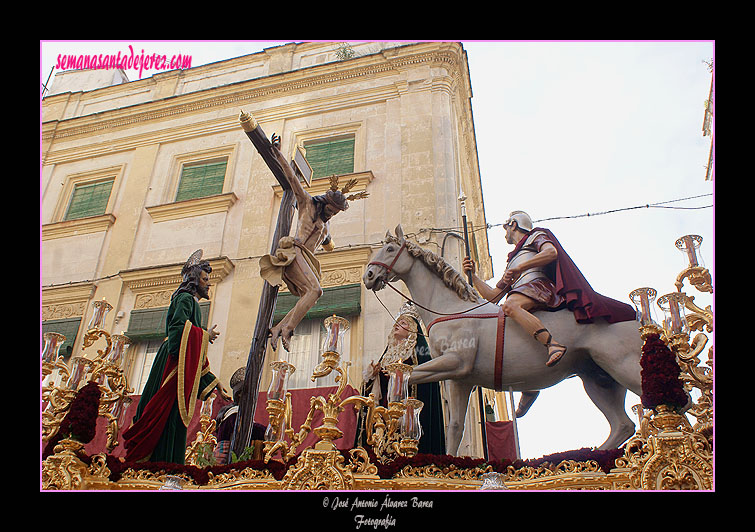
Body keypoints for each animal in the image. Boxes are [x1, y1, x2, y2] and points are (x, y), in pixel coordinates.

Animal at [364, 224, 644, 458]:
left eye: (390, 249)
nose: (368, 275)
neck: (451, 309)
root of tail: (636, 317)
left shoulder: (456, 362)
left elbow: (408, 374)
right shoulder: (459, 379)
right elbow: (455, 426)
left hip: (624, 366)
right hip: (598, 378)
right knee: (622, 425)